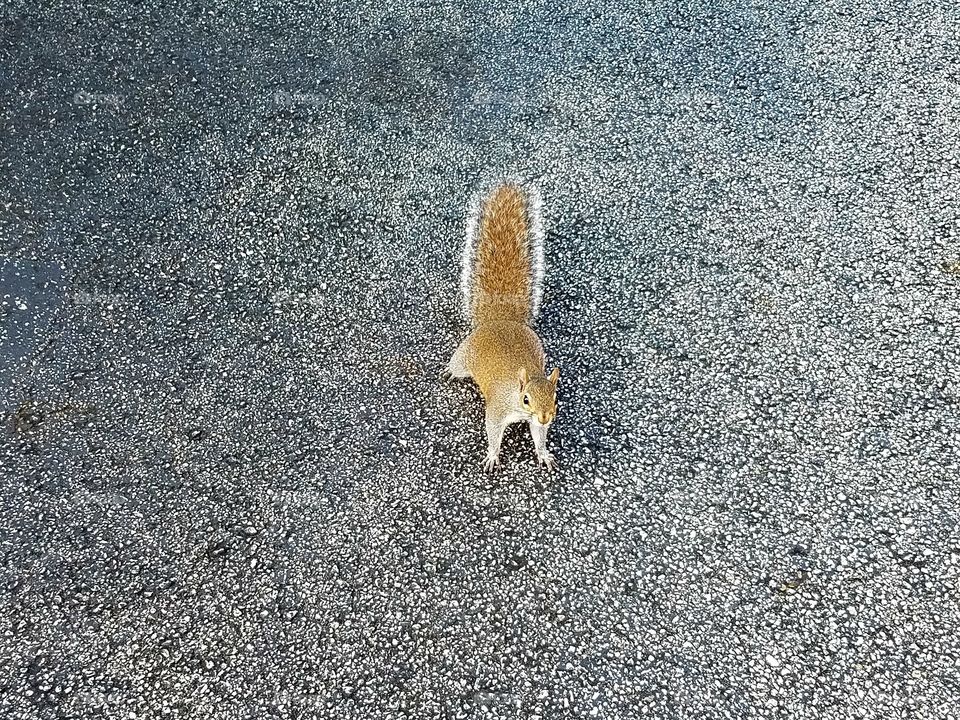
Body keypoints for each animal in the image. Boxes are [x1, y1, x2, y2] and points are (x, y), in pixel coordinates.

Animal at [446, 181, 560, 471]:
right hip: (465, 356)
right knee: (457, 364)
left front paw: (543, 453)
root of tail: (500, 319)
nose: (545, 417)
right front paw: (492, 454)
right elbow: (493, 430)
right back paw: (450, 371)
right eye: (526, 398)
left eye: (555, 396)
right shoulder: (498, 409)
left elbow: (539, 435)